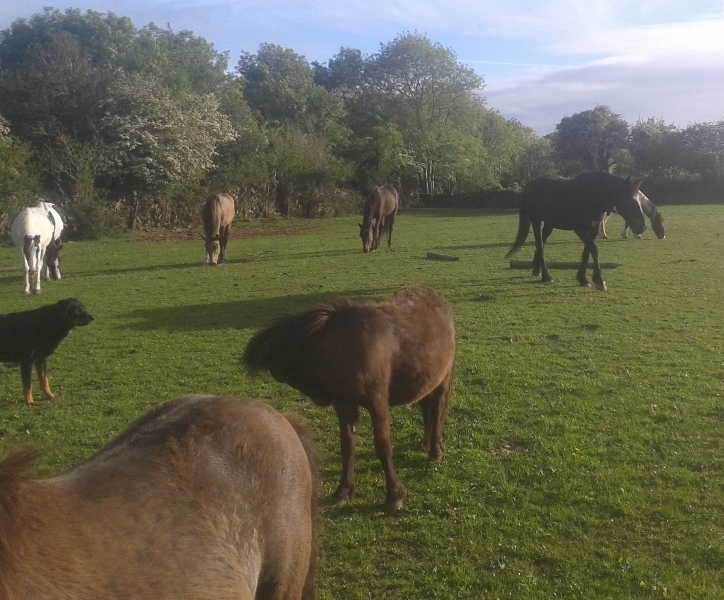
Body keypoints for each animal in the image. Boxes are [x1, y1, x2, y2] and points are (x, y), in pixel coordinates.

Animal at [242, 286, 455, 513]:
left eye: (285, 373)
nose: (319, 398)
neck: (347, 349)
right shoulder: (344, 403)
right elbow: (347, 445)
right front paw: (343, 491)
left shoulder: (377, 402)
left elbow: (382, 445)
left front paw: (394, 494)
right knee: (427, 409)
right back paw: (425, 443)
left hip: (442, 379)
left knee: (438, 409)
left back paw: (435, 449)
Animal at [505, 172, 647, 292]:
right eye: (630, 202)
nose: (642, 227)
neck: (591, 196)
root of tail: (532, 183)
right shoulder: (580, 229)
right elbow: (594, 250)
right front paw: (599, 281)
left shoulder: (593, 229)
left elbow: (587, 252)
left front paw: (583, 279)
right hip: (536, 221)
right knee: (540, 246)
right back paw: (546, 276)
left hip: (549, 224)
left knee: (541, 244)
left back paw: (536, 270)